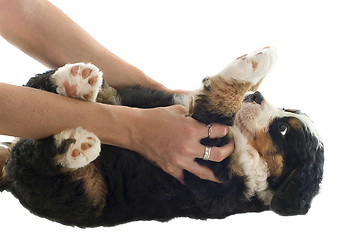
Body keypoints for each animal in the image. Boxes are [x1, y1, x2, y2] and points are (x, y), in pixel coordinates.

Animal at [0, 46, 324, 227]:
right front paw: (257, 66)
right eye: (287, 110)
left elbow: (219, 106)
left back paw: (75, 146)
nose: (256, 97)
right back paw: (77, 82)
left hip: (84, 197)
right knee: (43, 87)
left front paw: (253, 67)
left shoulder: (212, 177)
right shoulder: (177, 103)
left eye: (283, 130)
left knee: (38, 163)